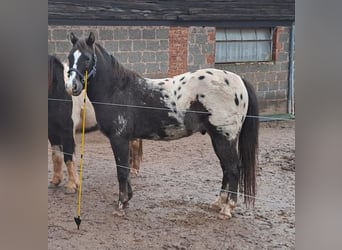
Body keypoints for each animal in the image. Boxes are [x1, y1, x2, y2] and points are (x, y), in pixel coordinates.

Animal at [65, 32, 260, 220]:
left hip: (224, 138)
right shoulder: (125, 139)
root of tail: (239, 80)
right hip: (219, 139)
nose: (71, 86)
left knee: (233, 169)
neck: (117, 91)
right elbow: (125, 170)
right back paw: (219, 203)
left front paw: (120, 206)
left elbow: (122, 171)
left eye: (87, 58)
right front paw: (127, 200)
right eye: (69, 57)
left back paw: (227, 209)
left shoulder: (119, 139)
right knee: (226, 168)